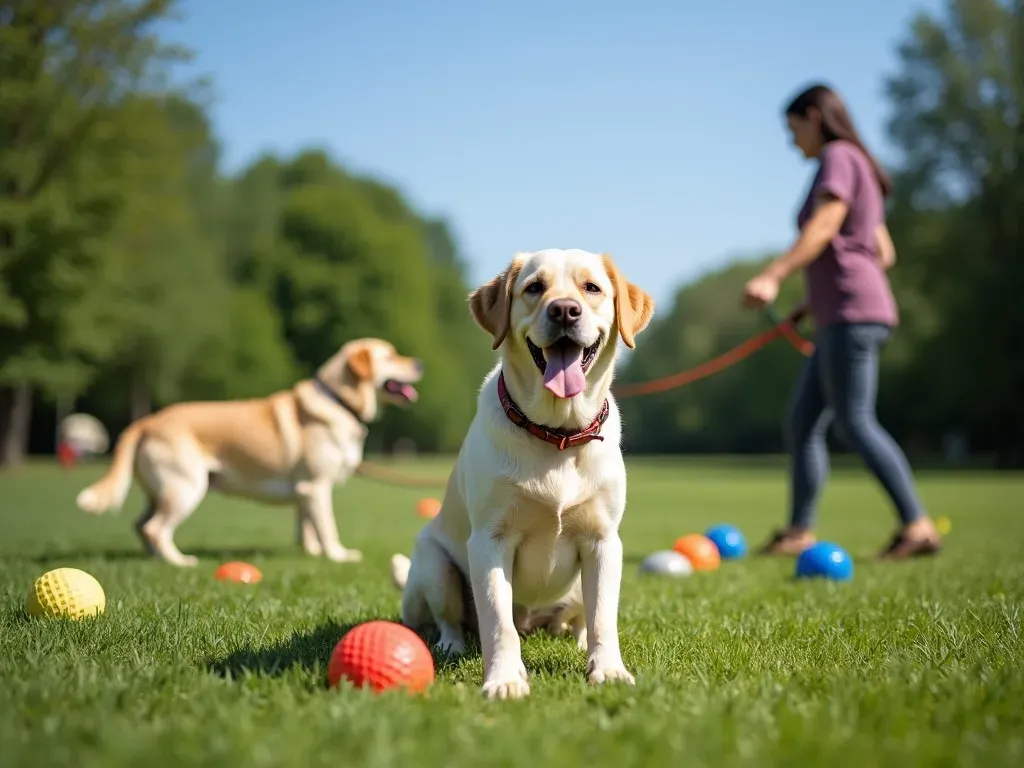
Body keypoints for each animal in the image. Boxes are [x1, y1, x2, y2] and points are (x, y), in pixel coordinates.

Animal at [74, 339, 419, 569]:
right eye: (390, 356)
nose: (420, 363)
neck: (339, 400)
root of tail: (147, 421)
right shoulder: (316, 486)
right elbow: (327, 526)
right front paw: (338, 555)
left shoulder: (305, 491)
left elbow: (307, 527)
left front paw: (311, 553)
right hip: (186, 487)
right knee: (154, 528)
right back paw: (179, 561)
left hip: (161, 491)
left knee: (140, 524)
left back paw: (154, 558)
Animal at [391, 249, 655, 700]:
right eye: (534, 287)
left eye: (591, 288)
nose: (564, 310)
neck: (557, 434)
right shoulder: (490, 541)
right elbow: (499, 623)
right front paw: (504, 679)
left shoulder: (603, 540)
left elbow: (603, 617)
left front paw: (608, 670)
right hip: (433, 563)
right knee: (451, 620)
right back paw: (449, 644)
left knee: (578, 619)